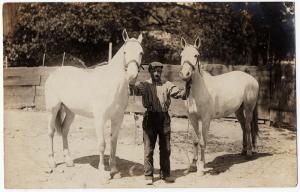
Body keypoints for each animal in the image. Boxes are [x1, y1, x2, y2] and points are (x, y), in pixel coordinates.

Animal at [44, 28, 144, 182]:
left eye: (141, 52)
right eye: (125, 52)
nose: (132, 76)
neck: (112, 84)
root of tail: (54, 74)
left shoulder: (118, 118)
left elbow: (113, 142)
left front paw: (114, 170)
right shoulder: (100, 119)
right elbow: (102, 144)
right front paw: (103, 172)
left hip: (71, 112)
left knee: (65, 131)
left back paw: (69, 161)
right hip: (52, 110)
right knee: (51, 132)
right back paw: (52, 163)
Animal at [179, 36, 258, 175]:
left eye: (196, 55)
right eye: (182, 55)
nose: (185, 75)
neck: (198, 91)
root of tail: (252, 79)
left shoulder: (205, 120)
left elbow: (203, 142)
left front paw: (201, 167)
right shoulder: (193, 118)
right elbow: (195, 141)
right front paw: (192, 166)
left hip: (248, 109)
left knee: (248, 128)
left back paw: (249, 152)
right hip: (238, 110)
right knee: (243, 127)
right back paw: (243, 151)